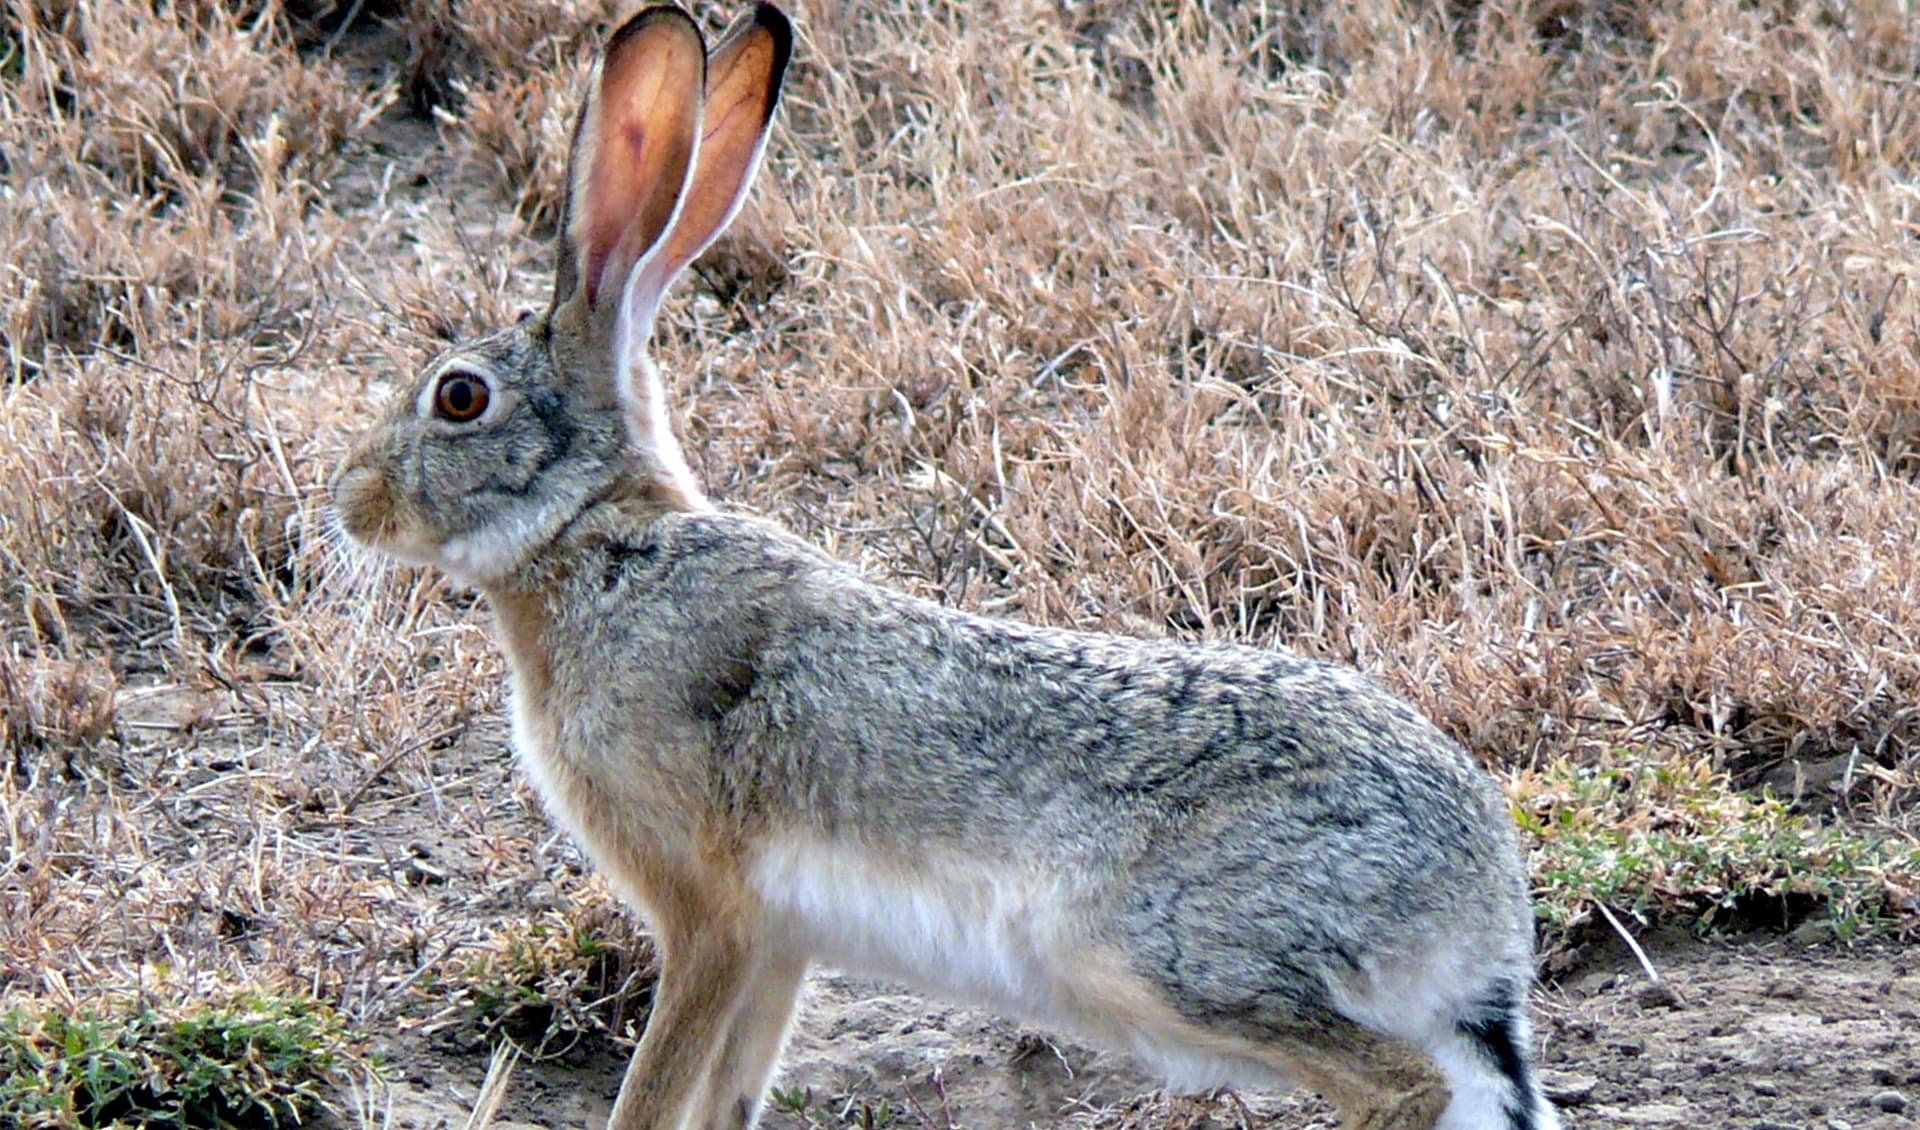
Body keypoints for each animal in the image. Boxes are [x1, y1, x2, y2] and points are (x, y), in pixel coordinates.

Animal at [330, 5, 1562, 1130]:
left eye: (458, 396)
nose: (352, 500)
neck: (598, 540)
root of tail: (1482, 916)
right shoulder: (777, 941)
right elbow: (730, 1095)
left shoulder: (710, 912)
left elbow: (658, 1088)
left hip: (1162, 954)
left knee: (1394, 1084)